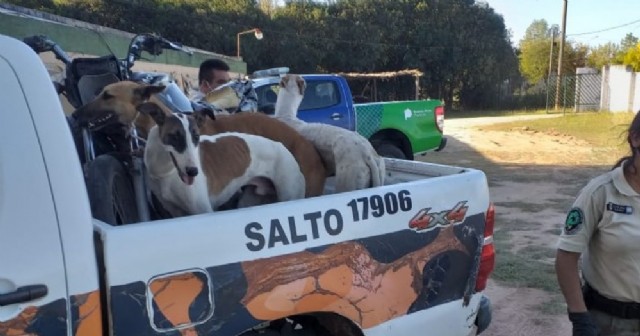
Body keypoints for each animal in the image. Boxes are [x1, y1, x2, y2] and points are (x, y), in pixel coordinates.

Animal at [138, 101, 308, 217]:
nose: (193, 171)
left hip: (290, 194)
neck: (165, 172)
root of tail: (282, 147)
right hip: (250, 199)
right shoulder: (175, 212)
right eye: (174, 136)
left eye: (196, 136)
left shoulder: (203, 210)